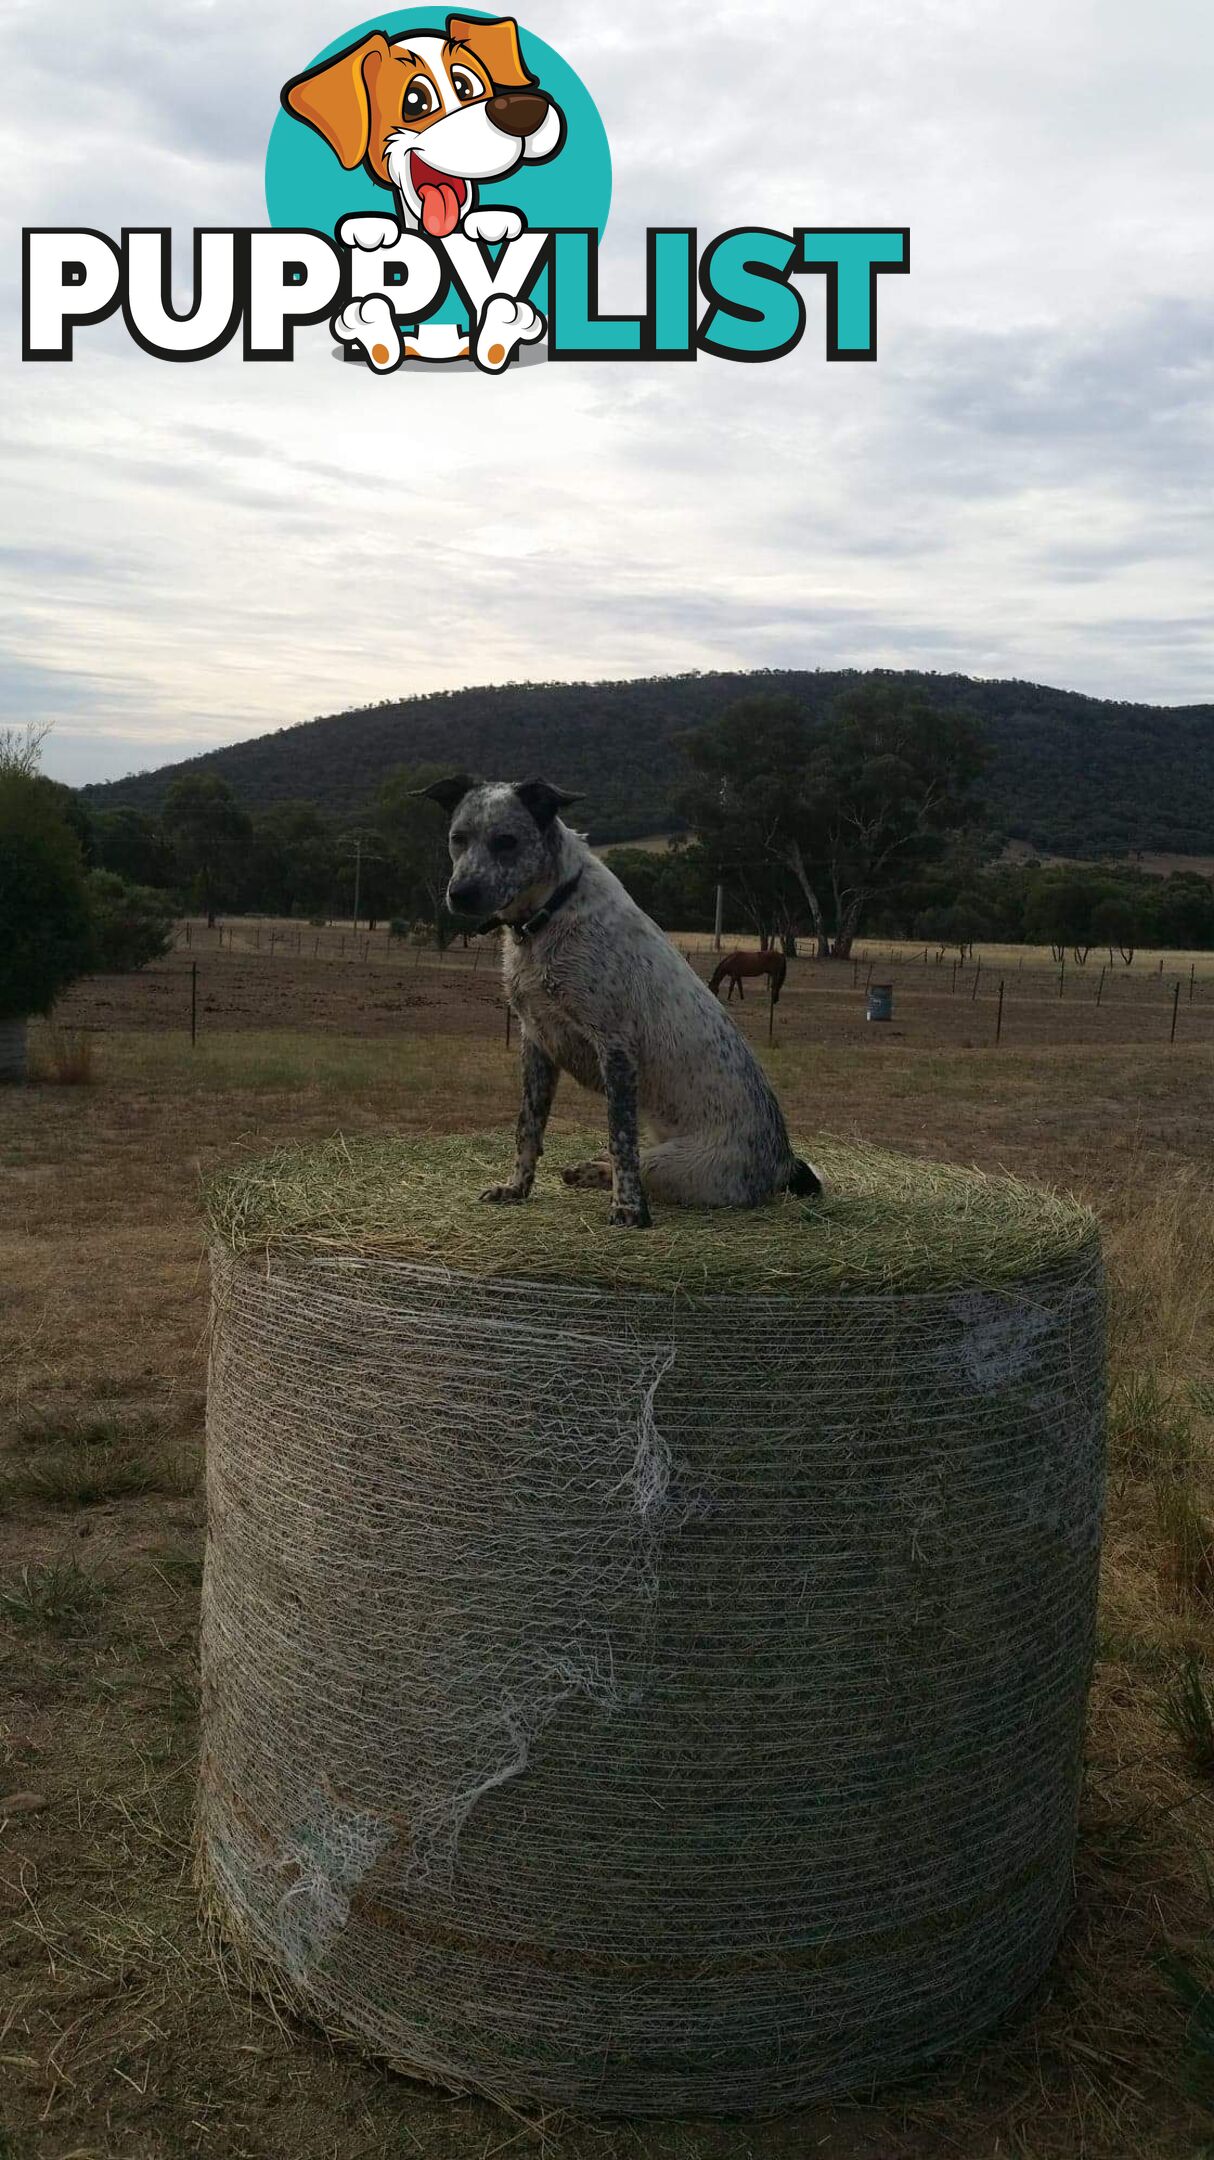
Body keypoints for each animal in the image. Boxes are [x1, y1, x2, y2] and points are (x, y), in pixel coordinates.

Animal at [419, 773, 820, 1235]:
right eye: (458, 839)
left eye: (506, 841)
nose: (460, 894)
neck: (550, 913)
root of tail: (783, 1166)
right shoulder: (535, 1041)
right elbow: (528, 1127)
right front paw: (517, 1188)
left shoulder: (615, 1047)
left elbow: (620, 1139)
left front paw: (629, 1209)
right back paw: (584, 1170)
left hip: (674, 1163)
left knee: (640, 1162)